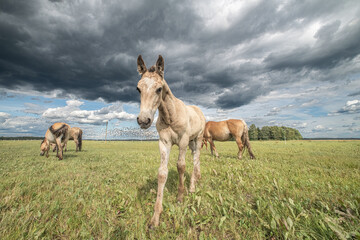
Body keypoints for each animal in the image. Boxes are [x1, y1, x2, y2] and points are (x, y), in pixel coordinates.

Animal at [136, 54, 205, 229]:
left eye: (159, 89)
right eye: (138, 89)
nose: (143, 120)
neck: (170, 115)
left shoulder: (183, 141)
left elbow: (181, 166)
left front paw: (180, 198)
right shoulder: (164, 142)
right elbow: (162, 173)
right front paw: (155, 218)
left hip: (197, 139)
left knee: (196, 159)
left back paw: (192, 188)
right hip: (192, 142)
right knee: (196, 160)